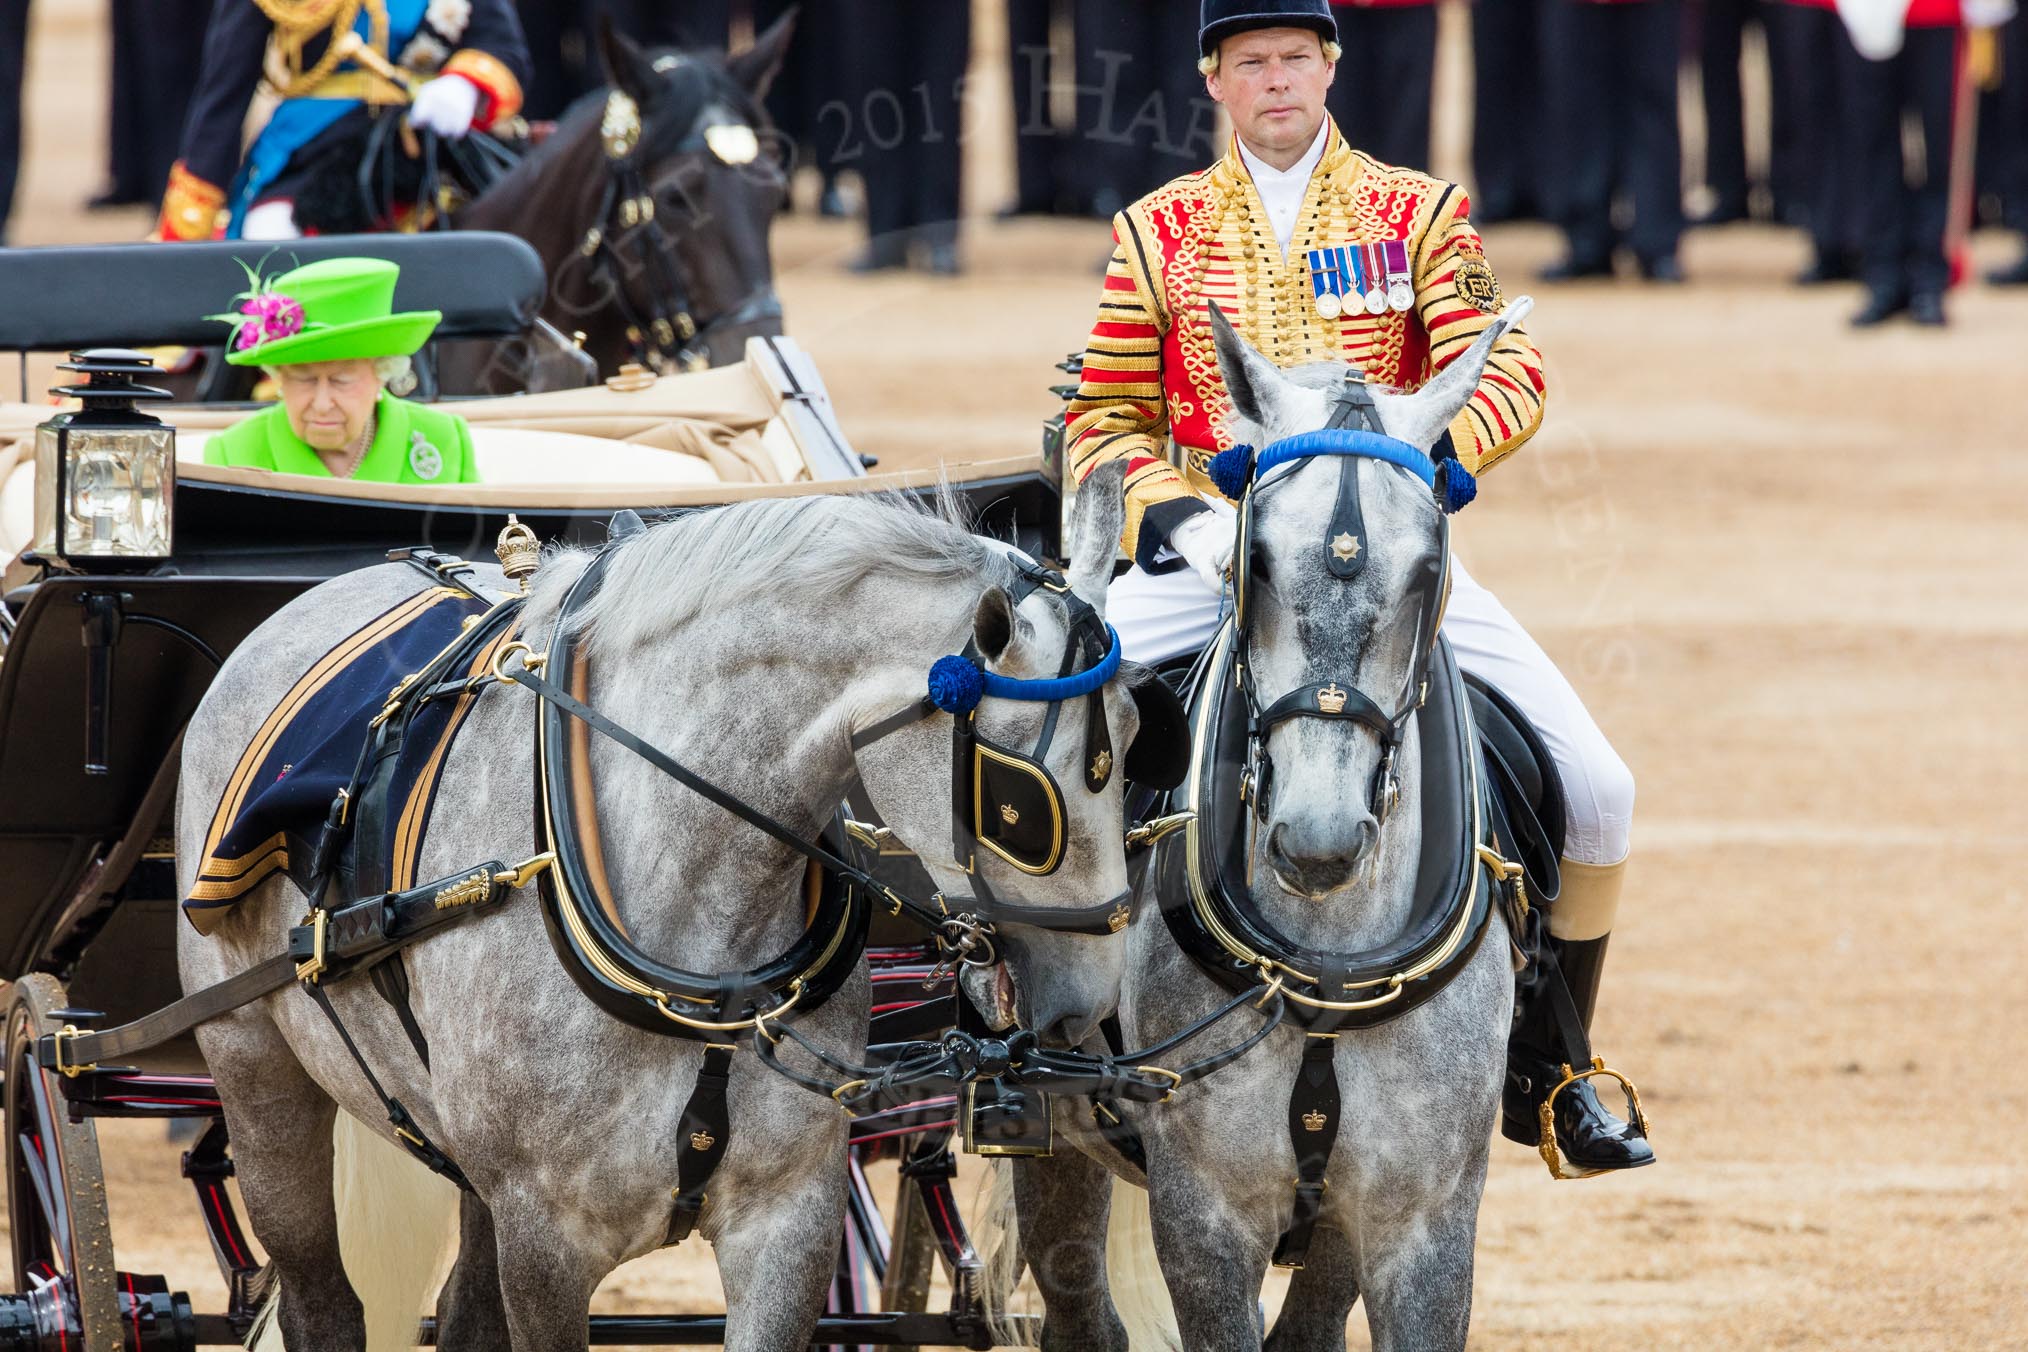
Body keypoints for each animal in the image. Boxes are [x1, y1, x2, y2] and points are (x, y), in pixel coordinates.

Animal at [174, 468, 1151, 1352]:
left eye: (1145, 736)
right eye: (1018, 806)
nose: (1089, 1005)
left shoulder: (788, 1220)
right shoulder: (547, 1241)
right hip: (257, 1073)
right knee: (319, 1295)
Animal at [997, 297, 1533, 1352]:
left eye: (1428, 571)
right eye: (1253, 560)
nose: (1318, 840)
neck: (1326, 962)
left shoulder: (1422, 1220)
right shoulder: (1204, 1218)